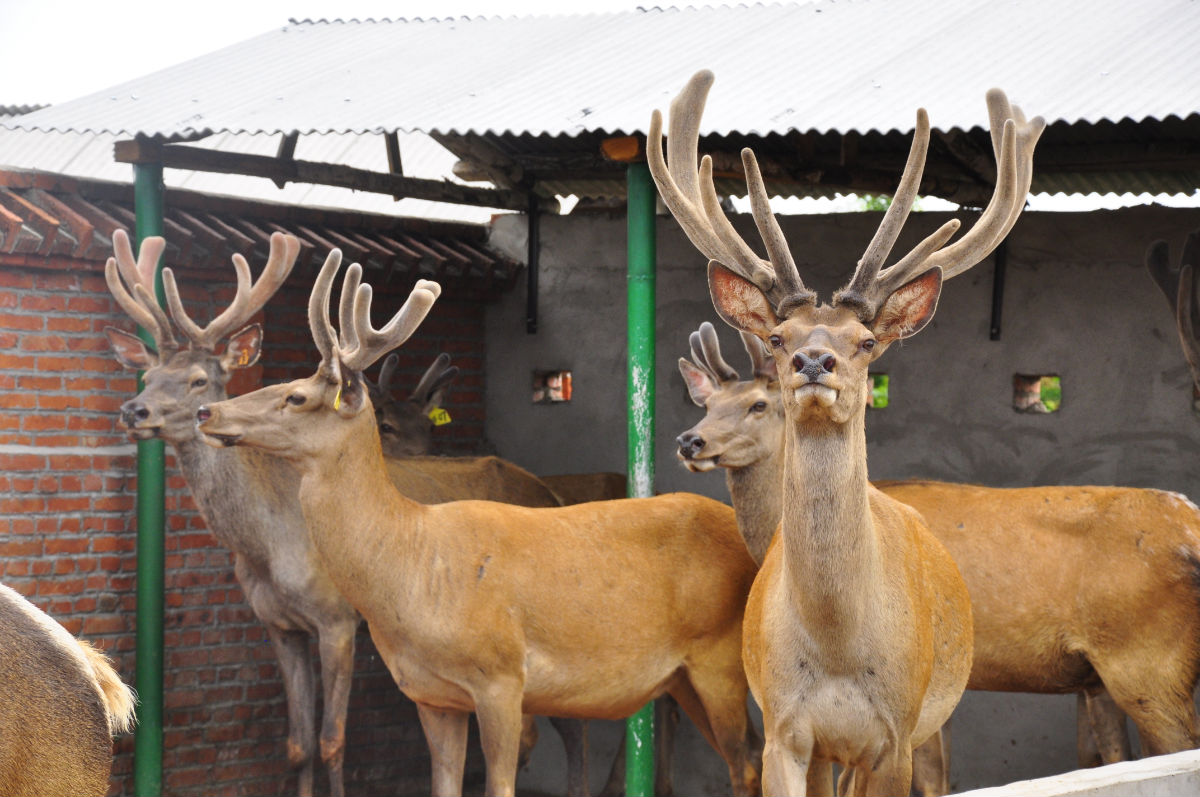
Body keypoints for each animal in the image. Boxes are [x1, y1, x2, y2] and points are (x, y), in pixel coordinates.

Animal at [101, 230, 594, 797]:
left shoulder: (336, 618)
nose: (133, 410)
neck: (267, 546)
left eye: (200, 380)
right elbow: (297, 743)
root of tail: (551, 493)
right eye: (148, 373)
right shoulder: (279, 625)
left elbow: (331, 740)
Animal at [194, 250, 764, 797]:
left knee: (747, 764)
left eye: (295, 396)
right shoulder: (430, 695)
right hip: (681, 677)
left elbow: (501, 783)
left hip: (720, 656)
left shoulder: (501, 676)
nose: (207, 412)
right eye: (279, 381)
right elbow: (442, 784)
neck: (413, 570)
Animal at [645, 70, 1058, 795]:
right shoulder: (785, 730)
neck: (837, 646)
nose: (814, 361)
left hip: (929, 717)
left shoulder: (891, 734)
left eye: (866, 341)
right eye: (778, 337)